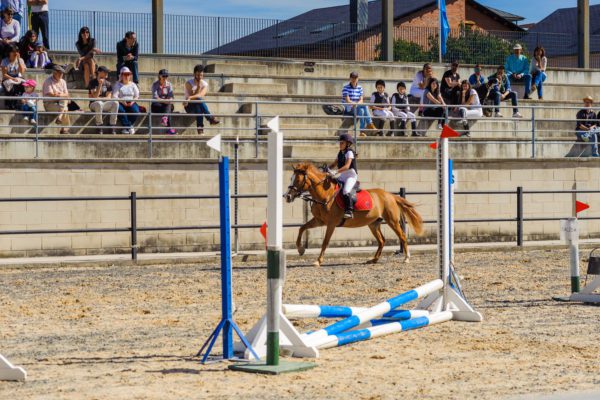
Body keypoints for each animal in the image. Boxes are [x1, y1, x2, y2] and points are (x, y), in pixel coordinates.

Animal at [284, 162, 424, 267]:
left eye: (298, 179)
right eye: (291, 178)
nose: (287, 196)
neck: (325, 195)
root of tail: (390, 195)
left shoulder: (331, 224)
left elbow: (325, 242)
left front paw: (318, 260)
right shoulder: (319, 221)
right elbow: (302, 228)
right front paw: (301, 249)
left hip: (392, 221)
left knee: (402, 236)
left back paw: (406, 258)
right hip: (373, 224)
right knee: (382, 240)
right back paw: (373, 260)